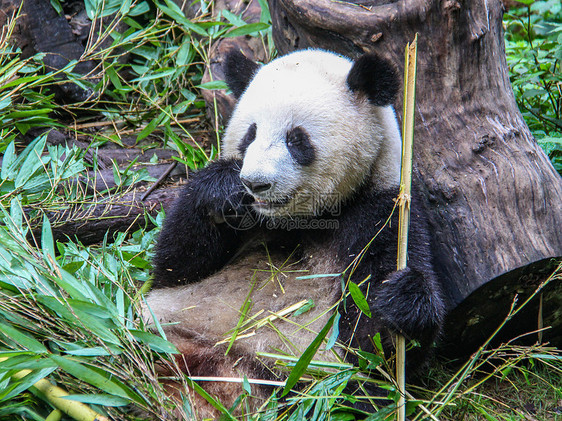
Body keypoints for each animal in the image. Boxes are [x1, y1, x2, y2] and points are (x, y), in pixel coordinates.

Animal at [145, 48, 446, 416]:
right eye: (250, 135)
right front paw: (223, 189)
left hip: (295, 380)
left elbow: (374, 352)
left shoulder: (382, 213)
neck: (301, 220)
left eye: (296, 139)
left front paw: (401, 300)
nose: (256, 183)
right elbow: (175, 265)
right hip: (166, 332)